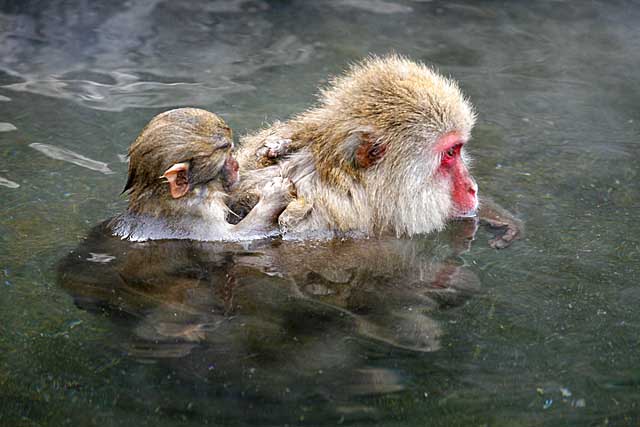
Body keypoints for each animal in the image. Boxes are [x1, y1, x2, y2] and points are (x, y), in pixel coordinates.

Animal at [109, 107, 294, 242]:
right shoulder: (195, 217)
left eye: (232, 151)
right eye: (227, 153)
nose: (236, 166)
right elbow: (237, 236)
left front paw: (272, 149)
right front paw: (276, 194)